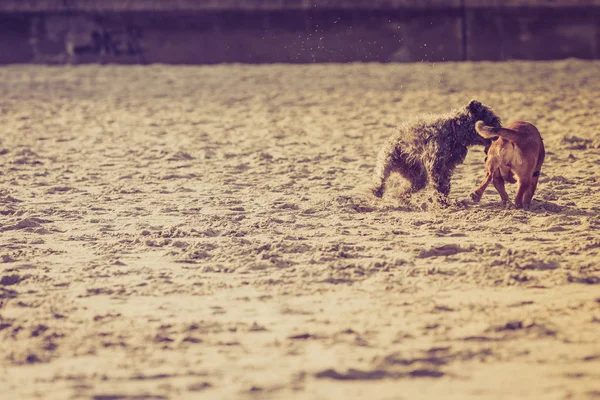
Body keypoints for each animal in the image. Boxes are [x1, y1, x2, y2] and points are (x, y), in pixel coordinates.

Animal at [370, 100, 502, 200]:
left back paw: (399, 195)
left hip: (415, 175)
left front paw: (443, 199)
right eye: (492, 120)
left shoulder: (447, 166)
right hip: (390, 159)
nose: (499, 133)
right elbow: (438, 183)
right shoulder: (435, 164)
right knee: (382, 175)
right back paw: (377, 190)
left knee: (408, 187)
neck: (454, 132)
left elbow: (444, 184)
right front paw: (441, 201)